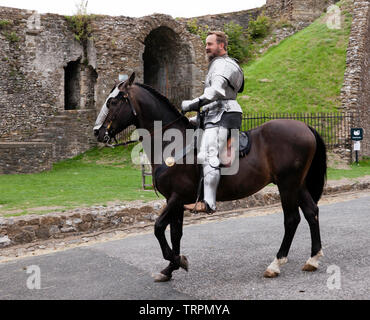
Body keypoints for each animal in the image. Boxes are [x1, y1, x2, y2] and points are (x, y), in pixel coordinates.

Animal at [94, 73, 326, 282]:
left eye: (113, 101)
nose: (97, 132)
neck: (172, 143)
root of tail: (305, 126)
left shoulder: (176, 198)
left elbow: (159, 228)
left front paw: (177, 260)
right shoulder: (176, 202)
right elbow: (175, 233)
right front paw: (170, 268)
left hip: (287, 185)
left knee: (292, 219)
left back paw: (276, 264)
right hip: (297, 185)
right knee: (311, 212)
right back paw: (313, 259)